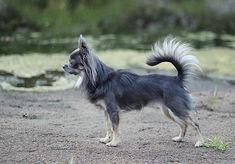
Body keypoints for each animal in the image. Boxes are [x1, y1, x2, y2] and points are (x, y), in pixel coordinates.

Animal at [62, 35, 204, 147]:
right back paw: (179, 139)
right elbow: (108, 127)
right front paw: (107, 139)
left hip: (176, 109)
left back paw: (200, 142)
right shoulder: (106, 111)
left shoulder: (113, 111)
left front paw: (114, 142)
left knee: (195, 124)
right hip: (169, 111)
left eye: (71, 62)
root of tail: (177, 79)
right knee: (184, 124)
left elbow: (115, 128)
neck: (100, 79)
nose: (63, 66)